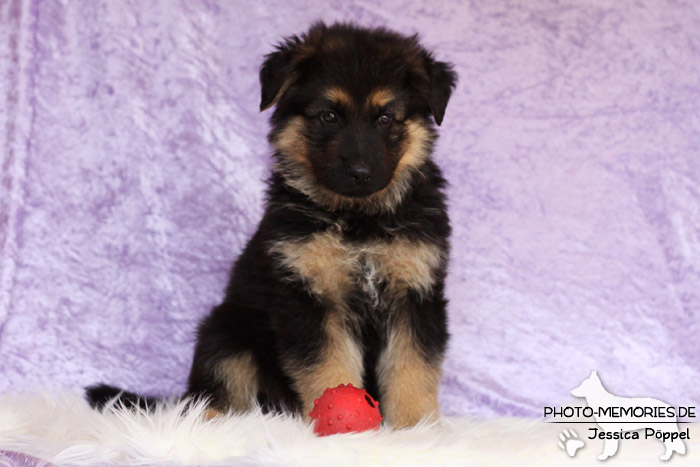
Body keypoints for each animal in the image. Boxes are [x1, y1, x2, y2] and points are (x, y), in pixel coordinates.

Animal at [87, 22, 456, 432]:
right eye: (330, 116)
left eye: (386, 118)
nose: (360, 173)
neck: (358, 219)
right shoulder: (308, 297)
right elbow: (328, 367)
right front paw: (342, 427)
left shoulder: (416, 295)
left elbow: (412, 368)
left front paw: (416, 429)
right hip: (227, 331)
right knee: (215, 391)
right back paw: (212, 423)